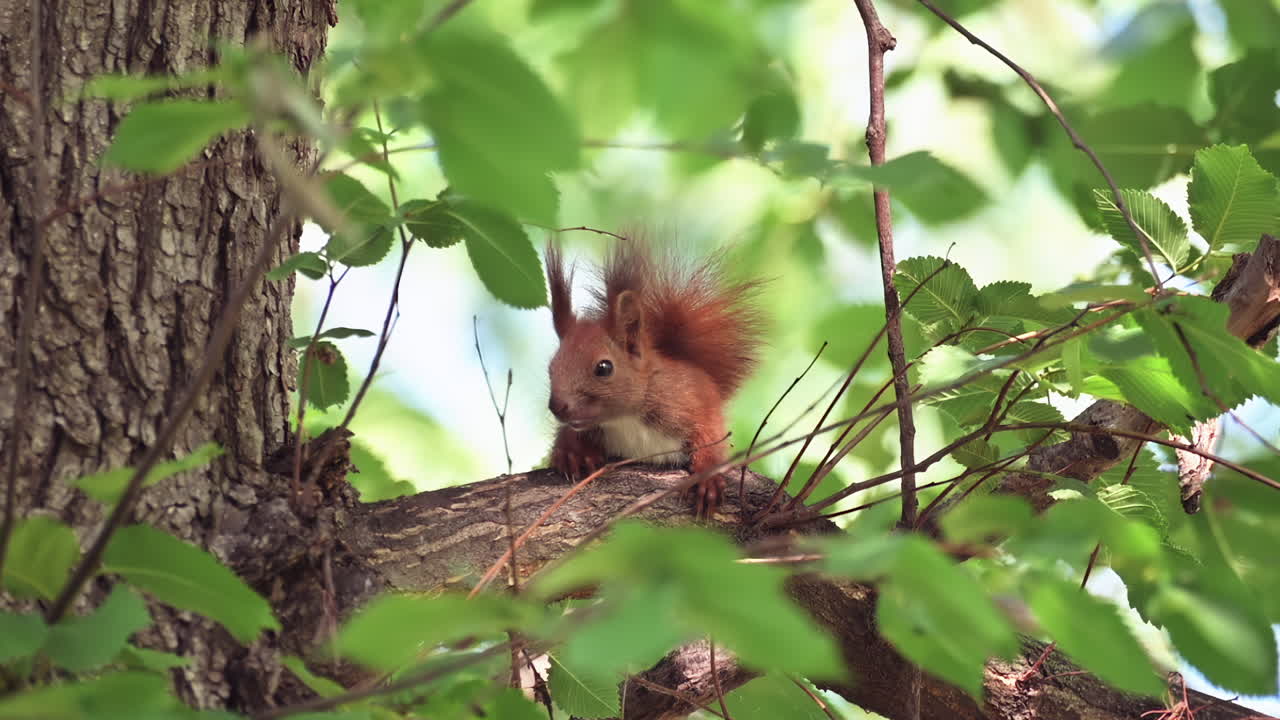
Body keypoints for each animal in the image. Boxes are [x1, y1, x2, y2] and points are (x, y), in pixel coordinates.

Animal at [544, 236, 764, 516]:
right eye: (551, 368)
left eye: (604, 367)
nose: (557, 406)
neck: (625, 419)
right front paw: (573, 452)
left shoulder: (691, 404)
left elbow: (711, 436)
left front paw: (707, 479)